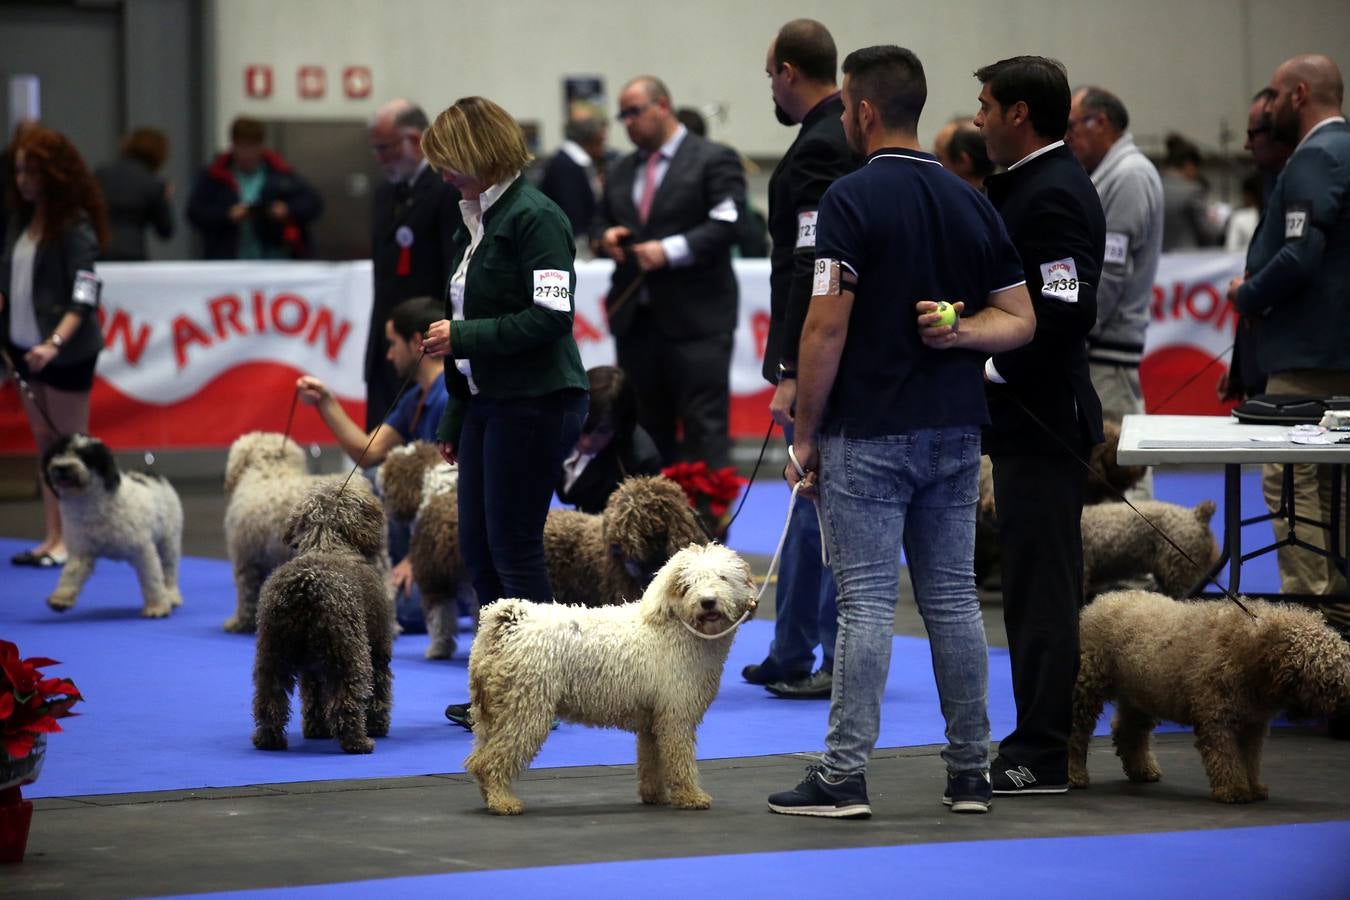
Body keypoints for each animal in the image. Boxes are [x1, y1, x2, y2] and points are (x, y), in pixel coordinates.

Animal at [42, 431, 184, 615]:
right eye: (58, 453)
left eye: (85, 457)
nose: (62, 467)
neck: (93, 505)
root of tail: (151, 474)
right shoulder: (82, 550)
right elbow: (70, 574)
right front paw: (60, 598)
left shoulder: (143, 550)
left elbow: (152, 580)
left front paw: (157, 607)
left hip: (169, 541)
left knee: (169, 571)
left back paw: (172, 596)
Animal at [252, 483, 394, 755]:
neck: (326, 543)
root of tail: (306, 584)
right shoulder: (379, 649)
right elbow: (380, 691)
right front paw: (378, 726)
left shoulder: (310, 668)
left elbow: (313, 697)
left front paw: (316, 729)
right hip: (350, 653)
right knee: (347, 699)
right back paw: (358, 741)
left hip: (273, 652)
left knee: (269, 699)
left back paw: (268, 739)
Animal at [467, 542, 761, 814]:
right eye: (688, 584)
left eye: (722, 578)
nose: (708, 602)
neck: (677, 628)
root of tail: (508, 621)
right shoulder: (676, 716)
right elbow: (680, 761)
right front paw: (691, 796)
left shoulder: (653, 720)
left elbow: (652, 761)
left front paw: (655, 796)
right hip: (525, 710)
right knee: (490, 762)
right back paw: (503, 801)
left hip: (490, 712)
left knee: (477, 759)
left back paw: (491, 797)